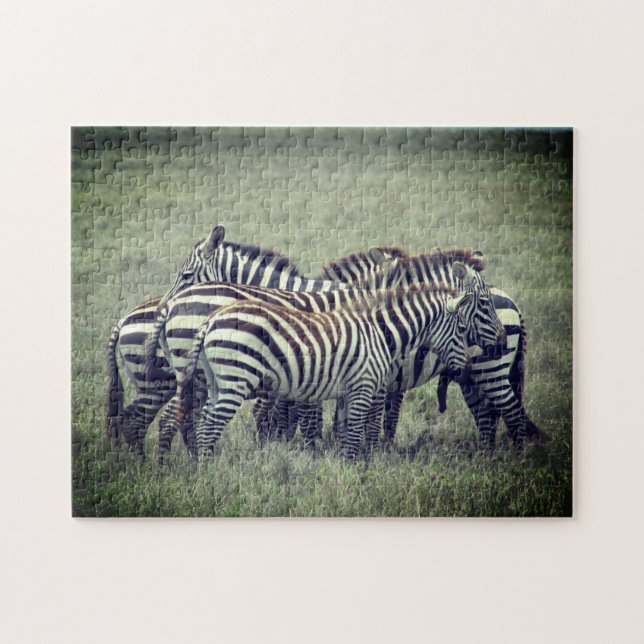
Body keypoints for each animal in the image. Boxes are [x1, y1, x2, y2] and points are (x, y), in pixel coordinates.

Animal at [172, 285, 474, 460]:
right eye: (461, 329)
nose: (465, 370)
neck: (380, 333)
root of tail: (211, 320)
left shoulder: (347, 392)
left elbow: (345, 433)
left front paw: (345, 470)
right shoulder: (363, 388)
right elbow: (354, 435)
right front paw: (354, 475)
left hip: (216, 381)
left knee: (203, 422)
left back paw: (205, 467)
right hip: (236, 379)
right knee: (211, 424)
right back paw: (209, 471)